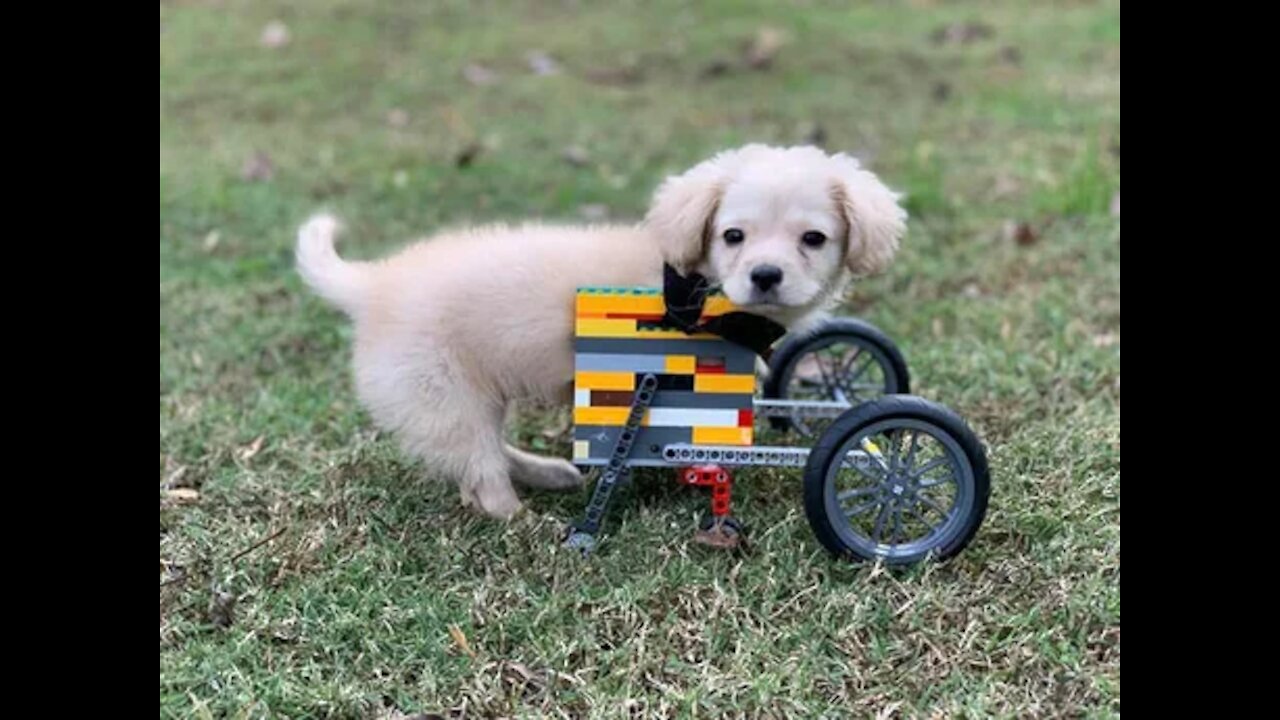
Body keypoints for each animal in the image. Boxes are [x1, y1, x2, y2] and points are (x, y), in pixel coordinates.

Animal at [294, 142, 906, 517]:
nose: (765, 276)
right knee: (481, 472)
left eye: (813, 239)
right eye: (733, 236)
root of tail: (372, 284)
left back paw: (551, 475)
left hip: (474, 398)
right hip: (446, 397)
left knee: (486, 453)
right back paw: (521, 518)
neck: (696, 286)